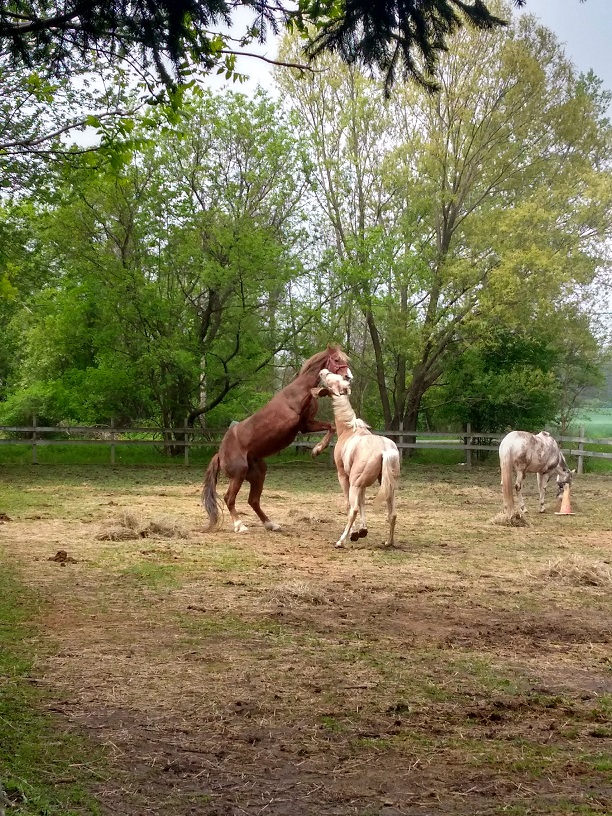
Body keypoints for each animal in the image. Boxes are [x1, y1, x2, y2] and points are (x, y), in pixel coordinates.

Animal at [203, 346, 352, 532]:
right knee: (229, 498)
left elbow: (331, 427)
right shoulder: (297, 420)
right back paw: (240, 526)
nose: (348, 377)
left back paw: (271, 524)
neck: (297, 390)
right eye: (337, 360)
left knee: (253, 500)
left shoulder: (306, 425)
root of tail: (219, 454)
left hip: (258, 474)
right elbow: (317, 402)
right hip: (238, 475)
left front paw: (317, 450)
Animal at [316, 370, 402, 548]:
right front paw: (363, 530)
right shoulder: (363, 485)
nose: (322, 372)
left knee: (353, 509)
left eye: (331, 379)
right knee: (393, 514)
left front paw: (355, 533)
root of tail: (385, 450)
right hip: (388, 486)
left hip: (355, 483)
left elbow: (351, 505)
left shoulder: (344, 477)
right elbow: (363, 503)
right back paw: (388, 542)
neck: (348, 429)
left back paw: (341, 541)